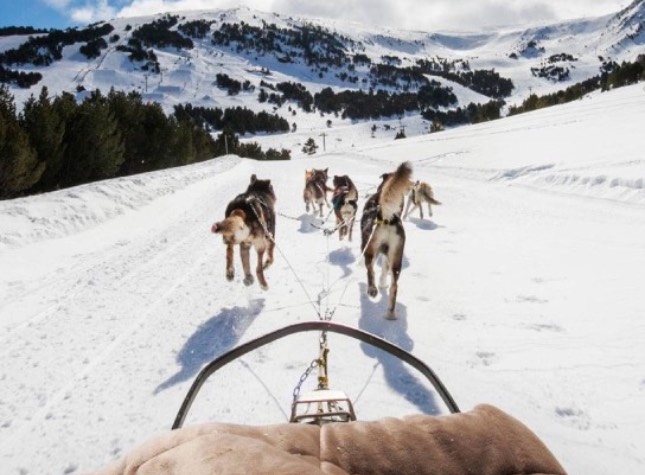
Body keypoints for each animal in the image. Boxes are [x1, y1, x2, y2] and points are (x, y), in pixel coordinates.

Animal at [358, 163, 412, 320]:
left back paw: (372, 290)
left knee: (370, 270)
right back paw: (390, 314)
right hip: (396, 256)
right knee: (394, 286)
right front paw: (383, 284)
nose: (412, 186)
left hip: (370, 249)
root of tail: (387, 218)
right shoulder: (388, 256)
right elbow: (384, 270)